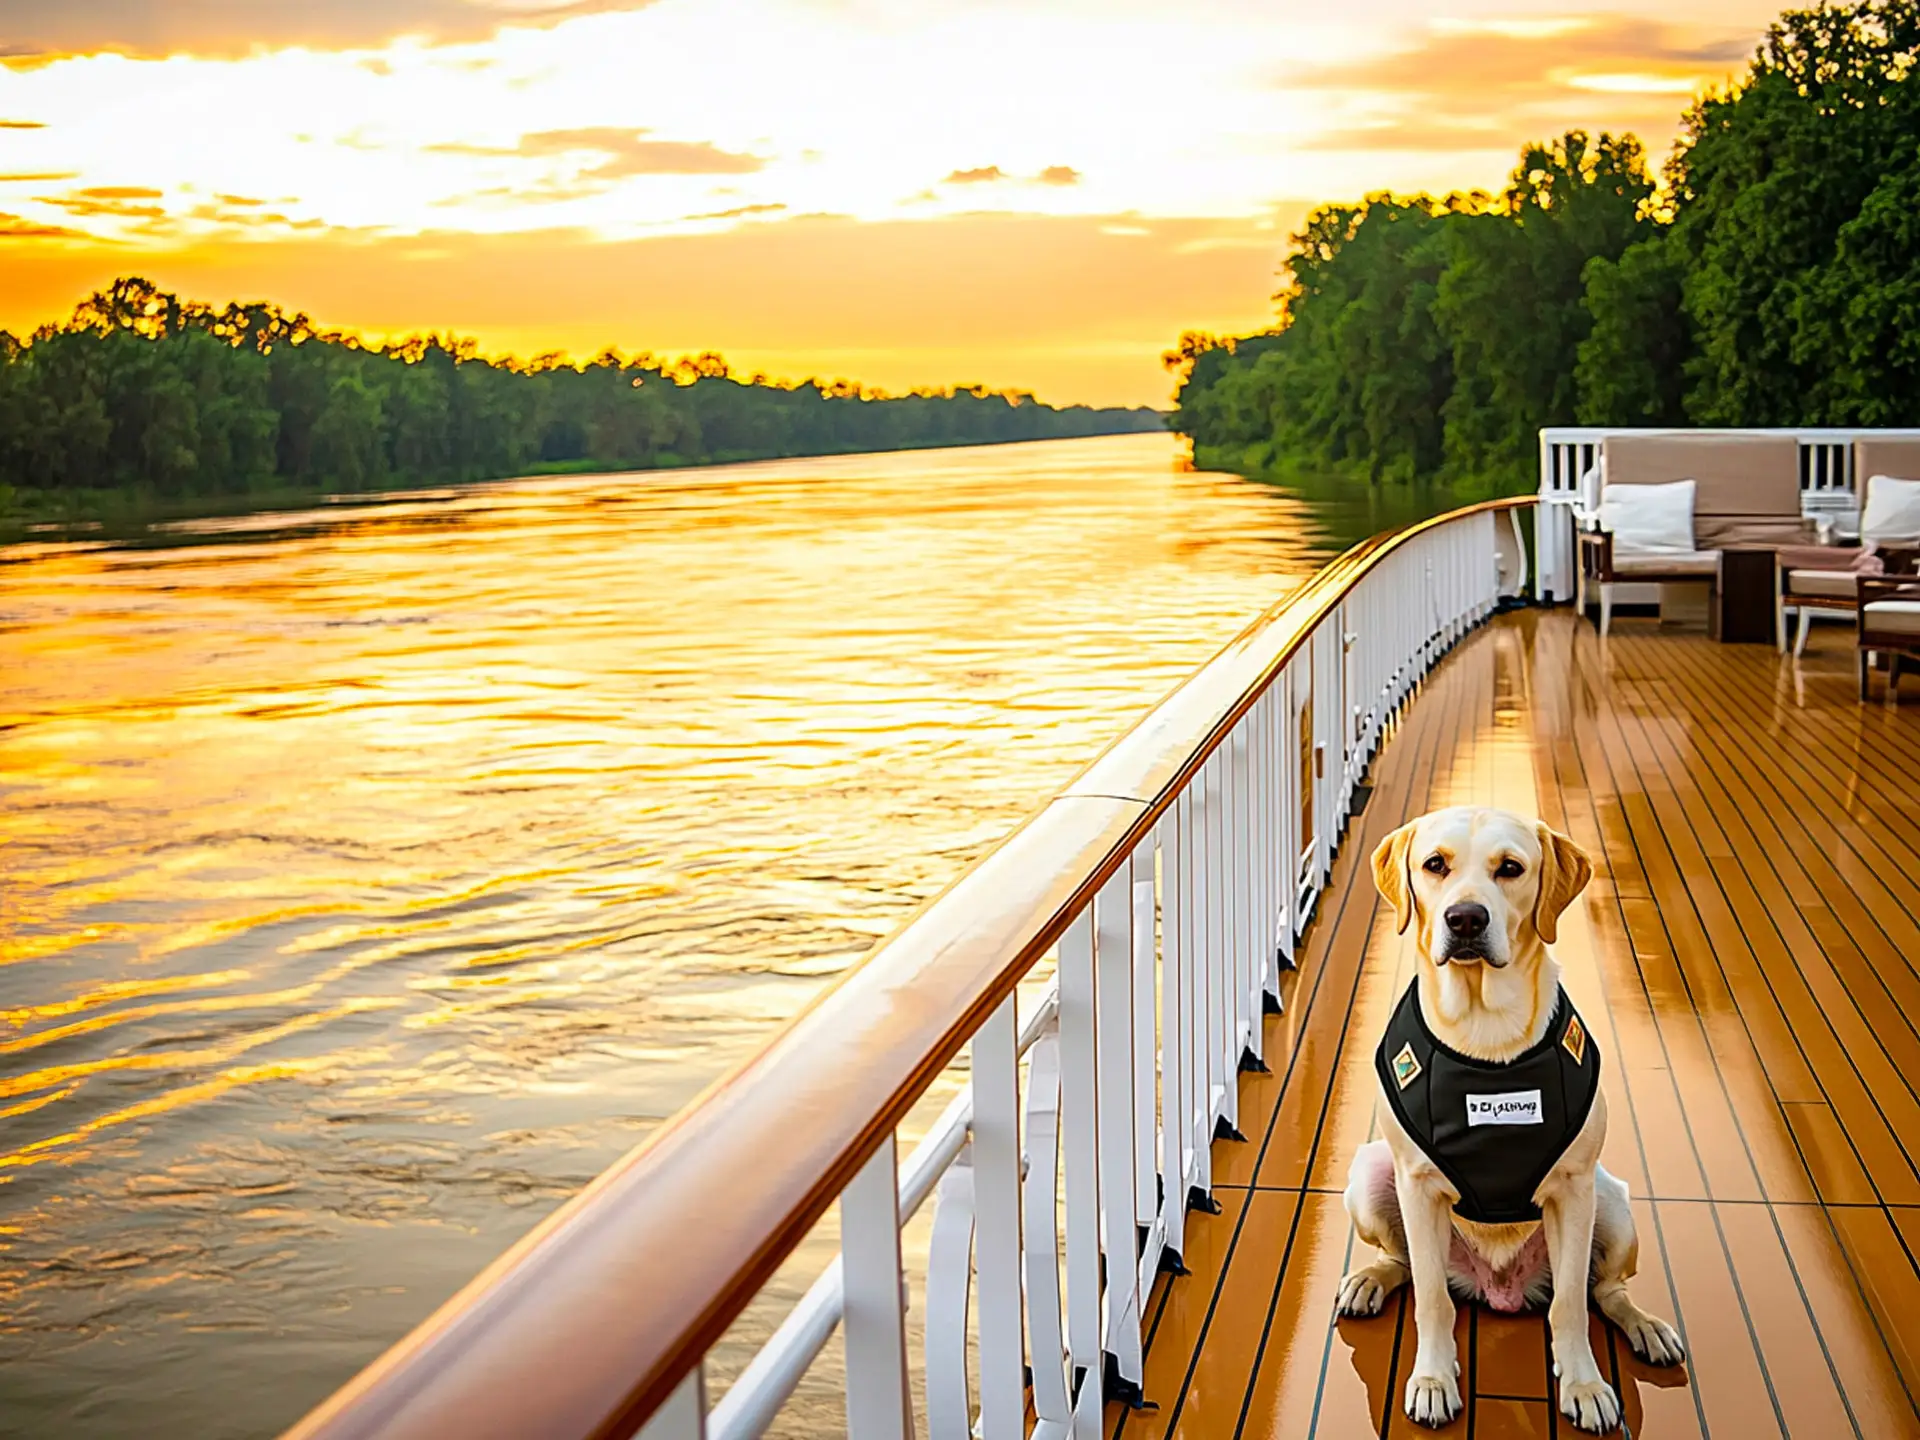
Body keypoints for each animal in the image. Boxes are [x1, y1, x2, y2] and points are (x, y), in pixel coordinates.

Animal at [1336, 814, 1681, 1436]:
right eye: (1435, 864)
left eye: (1510, 868)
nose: (1466, 919)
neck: (1484, 1028)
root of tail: (1499, 1289)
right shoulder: (1416, 1187)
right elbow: (1431, 1297)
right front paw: (1433, 1379)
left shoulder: (1573, 1190)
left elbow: (1570, 1302)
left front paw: (1585, 1385)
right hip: (1372, 1175)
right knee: (1407, 1264)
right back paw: (1372, 1279)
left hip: (1612, 1204)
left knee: (1604, 1291)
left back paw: (1644, 1326)